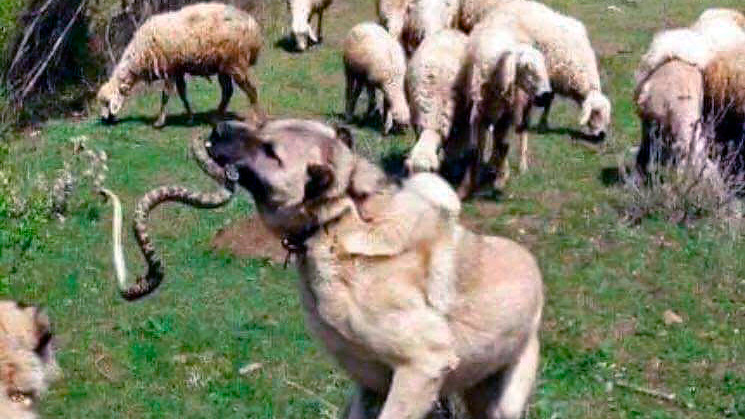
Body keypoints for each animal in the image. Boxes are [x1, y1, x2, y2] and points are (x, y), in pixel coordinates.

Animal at [97, 2, 262, 128]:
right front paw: (190, 118)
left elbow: (165, 95)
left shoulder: (170, 68)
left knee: (251, 90)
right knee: (227, 92)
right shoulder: (178, 69)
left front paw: (159, 122)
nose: (104, 120)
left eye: (106, 103)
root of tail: (252, 27)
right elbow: (182, 93)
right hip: (224, 67)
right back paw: (216, 117)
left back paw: (257, 120)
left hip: (235, 63)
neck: (140, 54)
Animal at [201, 119, 544, 419]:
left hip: (504, 403)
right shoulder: (369, 388)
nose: (218, 128)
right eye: (262, 125)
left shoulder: (422, 367)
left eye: (270, 151)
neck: (337, 222)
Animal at [464, 23, 552, 198]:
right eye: (527, 68)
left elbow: (504, 145)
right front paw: (473, 181)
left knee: (521, 132)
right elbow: (476, 148)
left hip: (523, 107)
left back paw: (519, 166)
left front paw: (500, 180)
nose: (545, 96)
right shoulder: (477, 116)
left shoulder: (507, 116)